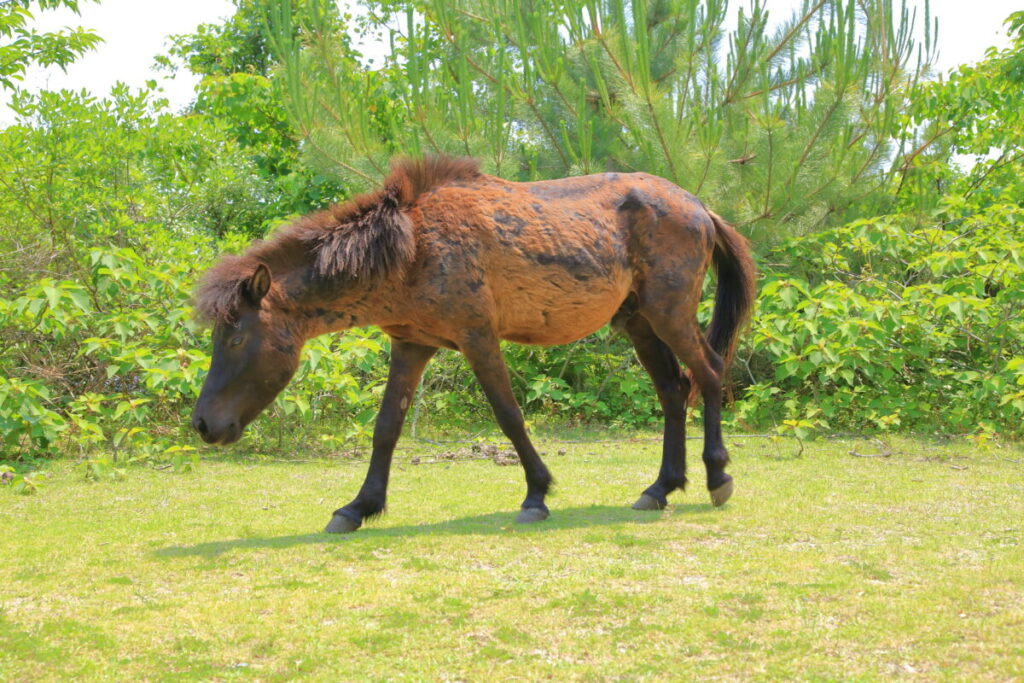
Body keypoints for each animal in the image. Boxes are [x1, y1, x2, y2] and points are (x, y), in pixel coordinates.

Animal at [191, 156, 756, 533]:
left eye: (236, 335)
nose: (203, 425)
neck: (414, 245)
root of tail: (699, 207)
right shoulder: (411, 346)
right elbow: (386, 429)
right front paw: (358, 507)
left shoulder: (478, 339)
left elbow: (509, 416)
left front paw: (536, 495)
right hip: (639, 323)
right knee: (672, 392)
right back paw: (660, 489)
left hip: (670, 315)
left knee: (708, 373)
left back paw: (716, 476)